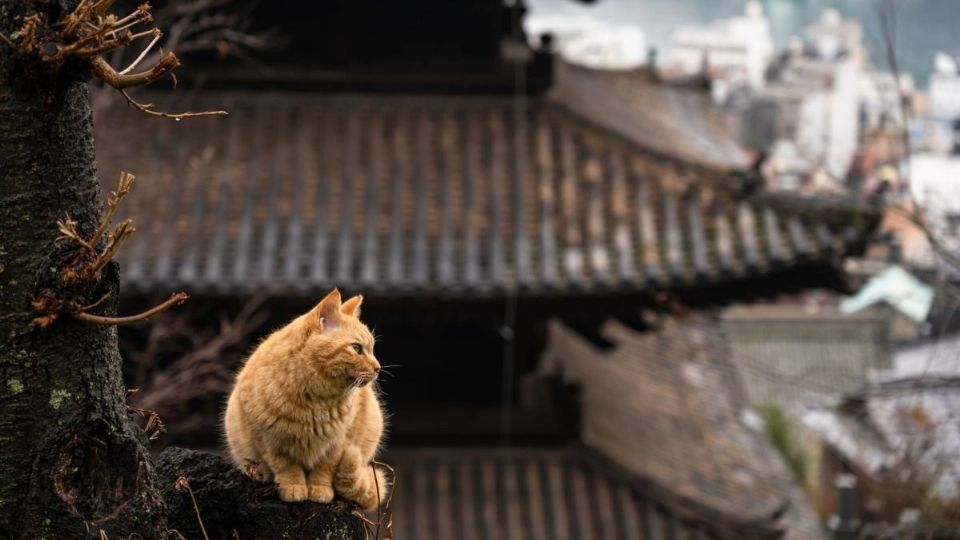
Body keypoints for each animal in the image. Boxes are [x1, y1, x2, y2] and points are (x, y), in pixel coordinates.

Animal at [223, 288, 388, 508]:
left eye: (371, 349)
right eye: (357, 348)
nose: (378, 368)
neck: (314, 401)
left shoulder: (338, 445)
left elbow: (324, 470)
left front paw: (319, 489)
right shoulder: (270, 441)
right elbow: (287, 467)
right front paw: (294, 487)